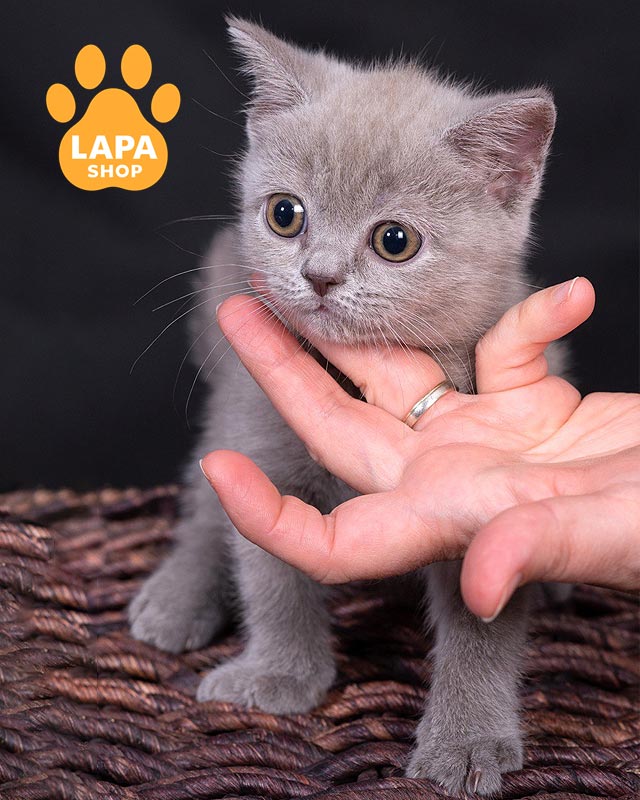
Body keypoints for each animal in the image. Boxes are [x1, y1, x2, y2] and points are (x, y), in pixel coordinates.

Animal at [129, 16, 566, 795]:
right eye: (285, 215)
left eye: (396, 241)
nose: (320, 275)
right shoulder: (263, 441)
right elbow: (270, 571)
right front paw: (279, 674)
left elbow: (482, 627)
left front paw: (467, 741)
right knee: (208, 498)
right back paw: (177, 596)